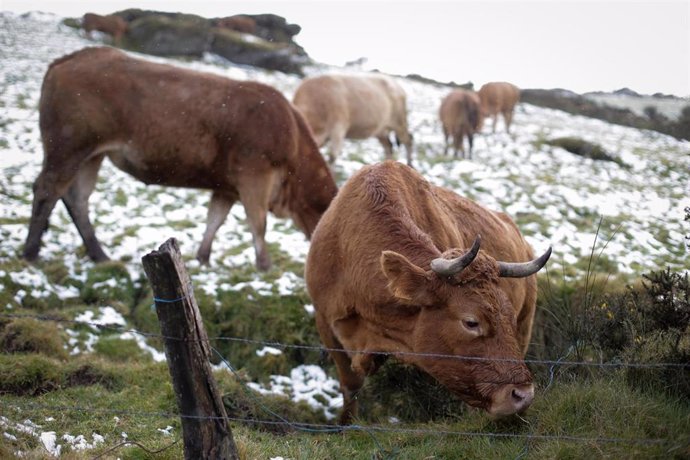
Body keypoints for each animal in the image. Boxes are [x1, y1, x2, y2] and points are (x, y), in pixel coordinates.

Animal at [25, 46, 338, 270]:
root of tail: (70, 58)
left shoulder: (226, 186)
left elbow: (215, 220)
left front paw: (203, 258)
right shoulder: (255, 176)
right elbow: (258, 223)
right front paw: (265, 266)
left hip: (92, 155)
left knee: (77, 198)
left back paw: (98, 255)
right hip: (67, 147)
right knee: (47, 189)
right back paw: (31, 252)